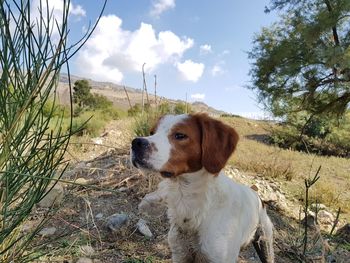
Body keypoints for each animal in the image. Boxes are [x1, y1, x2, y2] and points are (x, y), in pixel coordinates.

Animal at [130, 114, 274, 263]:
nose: (135, 143)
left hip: (265, 242)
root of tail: (257, 195)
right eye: (152, 132)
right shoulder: (180, 254)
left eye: (180, 135)